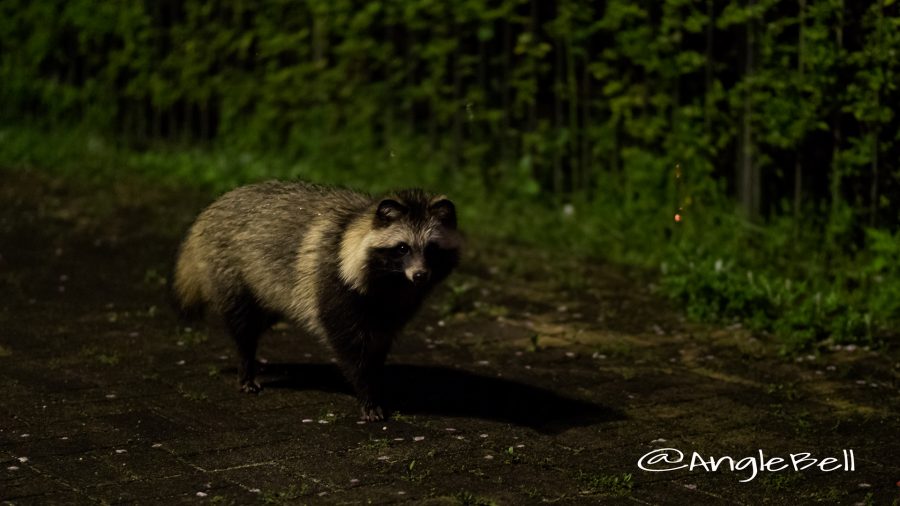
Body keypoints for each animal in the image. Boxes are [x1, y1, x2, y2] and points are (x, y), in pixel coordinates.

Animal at [172, 182, 460, 420]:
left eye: (432, 249)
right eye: (402, 248)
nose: (420, 275)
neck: (392, 283)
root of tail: (212, 207)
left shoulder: (391, 308)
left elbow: (379, 343)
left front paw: (377, 382)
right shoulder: (334, 284)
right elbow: (350, 347)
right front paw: (367, 393)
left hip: (268, 287)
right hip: (231, 269)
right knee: (244, 325)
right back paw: (246, 365)